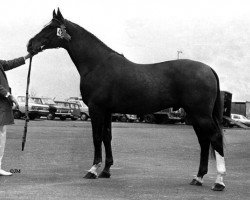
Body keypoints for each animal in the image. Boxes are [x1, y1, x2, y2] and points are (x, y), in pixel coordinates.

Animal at [27, 9, 227, 191]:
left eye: (50, 28)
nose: (30, 44)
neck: (97, 64)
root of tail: (208, 69)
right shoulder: (107, 111)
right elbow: (107, 137)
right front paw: (106, 171)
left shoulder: (96, 109)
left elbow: (96, 137)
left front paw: (93, 170)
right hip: (194, 115)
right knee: (204, 141)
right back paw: (198, 178)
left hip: (201, 114)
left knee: (215, 137)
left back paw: (219, 182)